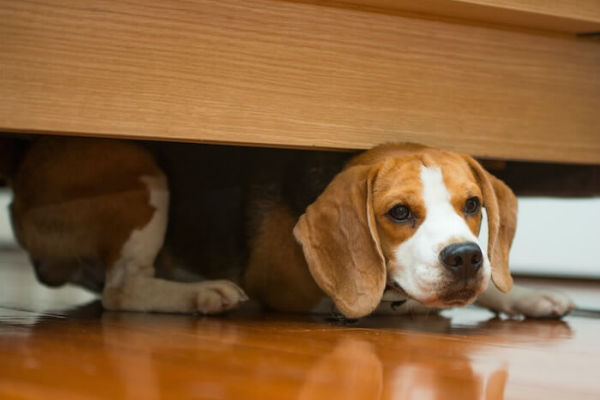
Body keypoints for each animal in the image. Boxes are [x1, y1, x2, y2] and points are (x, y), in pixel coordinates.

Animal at [0, 138, 576, 318]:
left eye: (472, 205)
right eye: (399, 213)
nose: (464, 257)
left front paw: (523, 296)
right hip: (141, 175)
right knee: (121, 291)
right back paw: (202, 294)